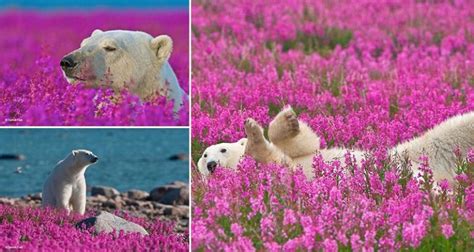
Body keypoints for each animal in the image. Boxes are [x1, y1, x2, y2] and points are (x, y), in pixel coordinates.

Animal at [197, 107, 474, 185]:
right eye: (204, 155)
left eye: (221, 149)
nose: (211, 165)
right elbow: (268, 157)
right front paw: (254, 134)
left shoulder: (299, 154)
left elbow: (305, 144)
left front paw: (287, 120)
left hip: (416, 152)